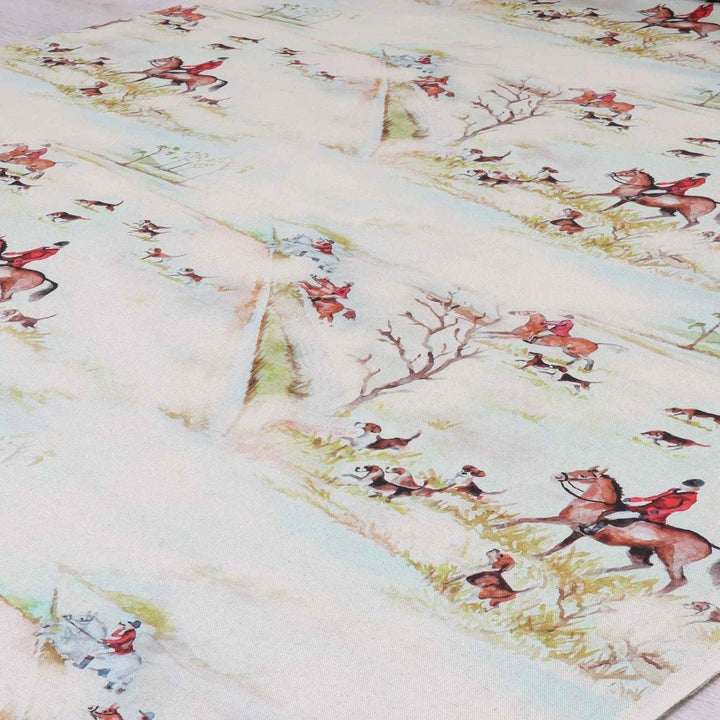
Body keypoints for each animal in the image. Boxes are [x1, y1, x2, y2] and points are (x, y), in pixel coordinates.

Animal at [494, 466, 720, 594]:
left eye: (583, 475)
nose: (558, 475)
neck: (593, 504)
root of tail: (708, 544)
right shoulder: (576, 531)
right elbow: (558, 547)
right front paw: (537, 556)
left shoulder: (563, 522)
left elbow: (528, 519)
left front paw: (499, 525)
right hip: (639, 550)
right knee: (642, 565)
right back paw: (598, 572)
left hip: (671, 560)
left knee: (678, 582)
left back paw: (649, 597)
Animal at [576, 168, 717, 228]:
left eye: (628, 172)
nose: (612, 173)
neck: (636, 186)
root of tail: (714, 202)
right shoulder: (623, 199)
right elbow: (610, 207)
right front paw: (597, 212)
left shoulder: (618, 196)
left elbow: (593, 195)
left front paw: (575, 197)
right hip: (667, 209)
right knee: (668, 216)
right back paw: (635, 220)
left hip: (688, 214)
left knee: (693, 223)